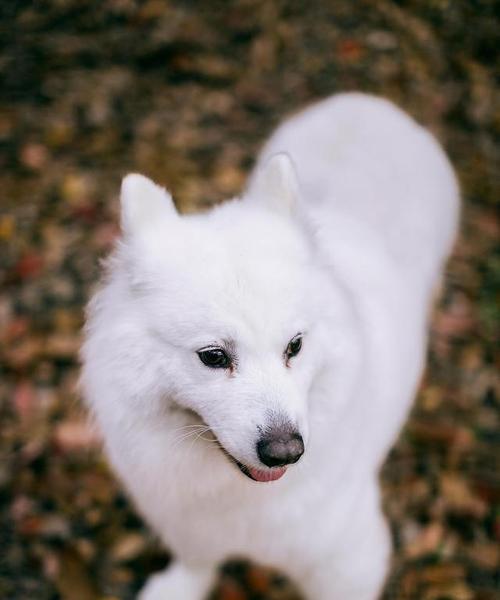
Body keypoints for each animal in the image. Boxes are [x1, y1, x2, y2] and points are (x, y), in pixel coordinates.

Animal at [80, 94, 458, 600]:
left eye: (294, 346)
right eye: (213, 356)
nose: (285, 452)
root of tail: (367, 102)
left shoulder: (348, 563)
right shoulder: (191, 527)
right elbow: (196, 560)